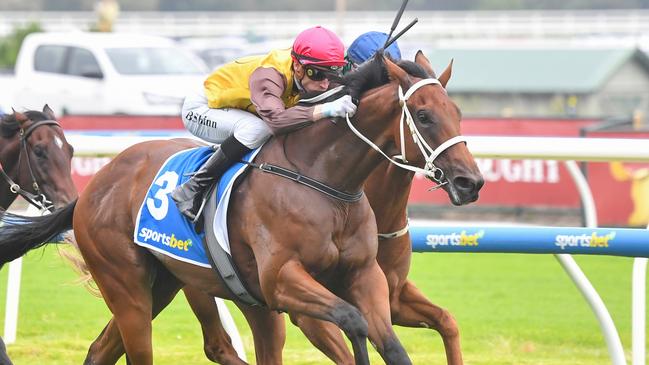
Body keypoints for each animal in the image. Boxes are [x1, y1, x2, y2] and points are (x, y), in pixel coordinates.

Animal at [0, 52, 480, 362]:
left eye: (457, 112)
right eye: (423, 116)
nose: (471, 182)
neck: (327, 182)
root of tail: (94, 186)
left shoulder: (364, 277)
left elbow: (397, 343)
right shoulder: (283, 283)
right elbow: (354, 323)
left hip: (163, 284)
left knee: (102, 349)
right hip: (127, 285)